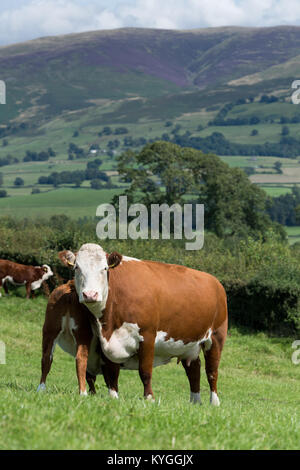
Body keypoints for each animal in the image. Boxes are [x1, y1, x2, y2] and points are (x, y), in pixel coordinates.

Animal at [58, 244, 227, 406]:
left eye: (104, 268)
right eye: (77, 268)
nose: (90, 294)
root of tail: (215, 282)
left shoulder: (147, 336)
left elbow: (145, 371)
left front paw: (149, 398)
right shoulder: (106, 339)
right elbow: (111, 372)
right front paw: (113, 397)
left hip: (215, 337)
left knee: (212, 371)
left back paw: (214, 402)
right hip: (189, 344)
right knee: (193, 369)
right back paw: (195, 401)